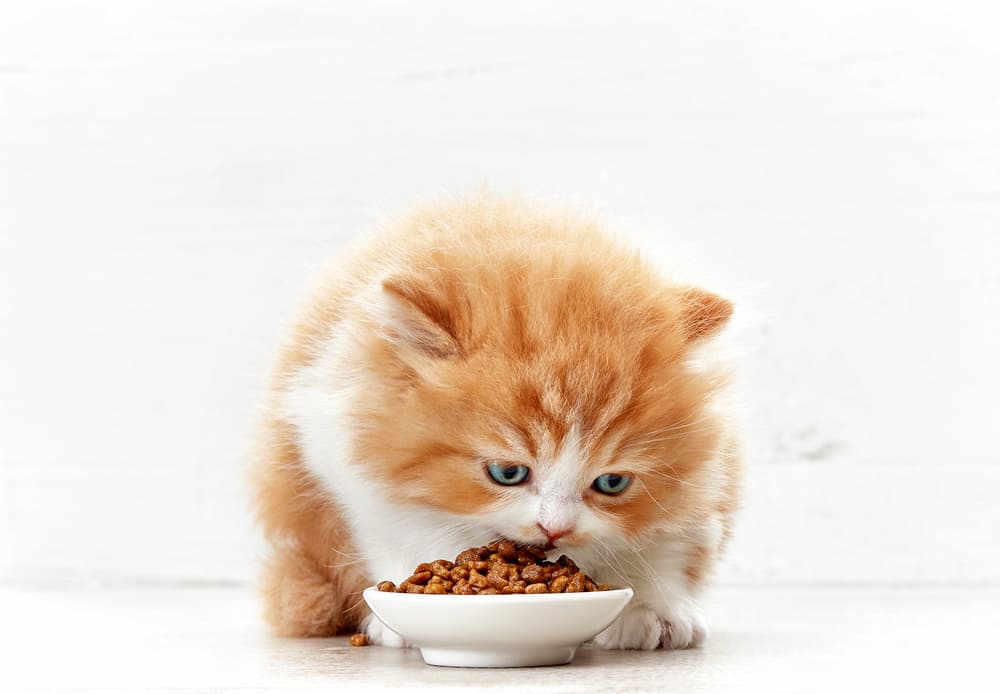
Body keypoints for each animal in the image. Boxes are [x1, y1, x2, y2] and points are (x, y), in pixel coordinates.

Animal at [254, 193, 740, 648]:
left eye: (612, 483)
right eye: (507, 473)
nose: (554, 529)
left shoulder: (706, 481)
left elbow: (667, 542)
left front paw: (651, 610)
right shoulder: (341, 459)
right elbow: (397, 531)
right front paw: (404, 615)